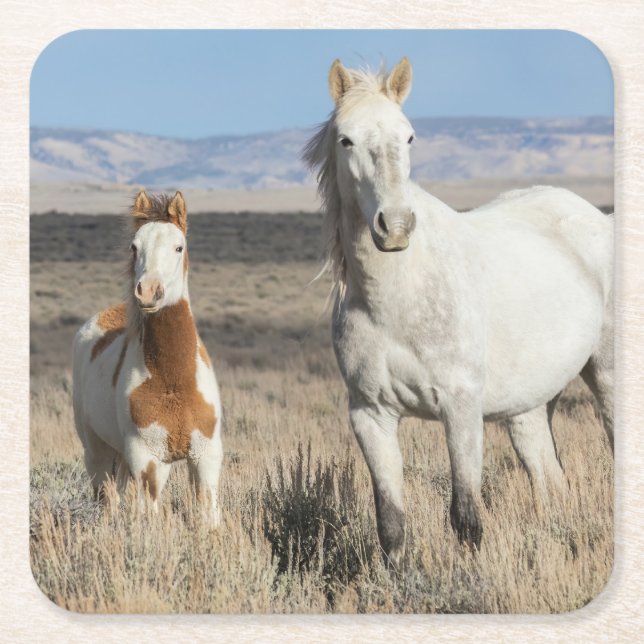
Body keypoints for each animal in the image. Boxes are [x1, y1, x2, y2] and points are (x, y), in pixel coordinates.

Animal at [72, 190, 223, 525]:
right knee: (107, 500)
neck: (173, 381)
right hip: (98, 454)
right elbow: (149, 517)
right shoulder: (147, 460)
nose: (149, 292)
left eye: (179, 246)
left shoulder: (205, 457)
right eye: (134, 246)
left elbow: (208, 517)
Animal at [304, 58, 613, 567]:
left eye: (409, 136)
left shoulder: (461, 407)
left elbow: (466, 517)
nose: (396, 227)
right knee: (551, 481)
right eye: (345, 139)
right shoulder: (370, 415)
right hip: (530, 407)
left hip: (607, 375)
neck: (396, 297)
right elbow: (391, 524)